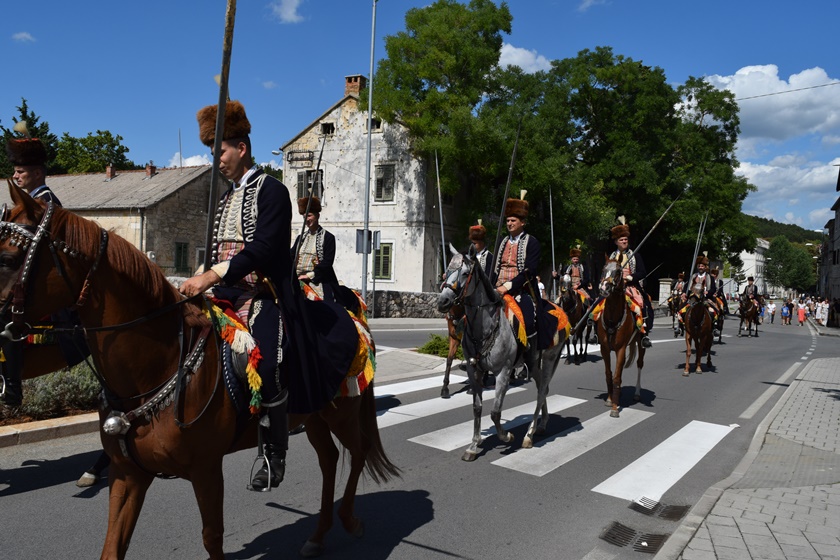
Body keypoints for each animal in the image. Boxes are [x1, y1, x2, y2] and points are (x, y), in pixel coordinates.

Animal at [0, 187, 398, 560]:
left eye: (8, 258)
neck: (160, 365)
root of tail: (353, 317)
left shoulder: (206, 469)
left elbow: (212, 537)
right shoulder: (129, 475)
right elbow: (112, 546)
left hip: (342, 413)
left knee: (358, 452)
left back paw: (349, 520)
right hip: (313, 415)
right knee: (329, 460)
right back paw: (318, 535)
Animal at [440, 245, 564, 460]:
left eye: (465, 273)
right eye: (446, 271)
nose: (443, 301)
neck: (485, 327)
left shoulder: (503, 372)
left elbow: (495, 412)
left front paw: (506, 436)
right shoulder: (474, 371)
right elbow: (477, 408)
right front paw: (474, 445)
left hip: (549, 358)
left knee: (541, 391)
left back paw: (528, 435)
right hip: (534, 363)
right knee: (543, 388)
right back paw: (541, 425)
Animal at [592, 260, 648, 418]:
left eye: (618, 272)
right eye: (604, 269)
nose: (604, 287)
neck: (612, 319)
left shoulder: (621, 349)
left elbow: (617, 377)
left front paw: (615, 408)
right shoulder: (605, 349)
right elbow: (609, 374)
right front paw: (610, 399)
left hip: (640, 344)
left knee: (639, 364)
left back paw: (637, 393)